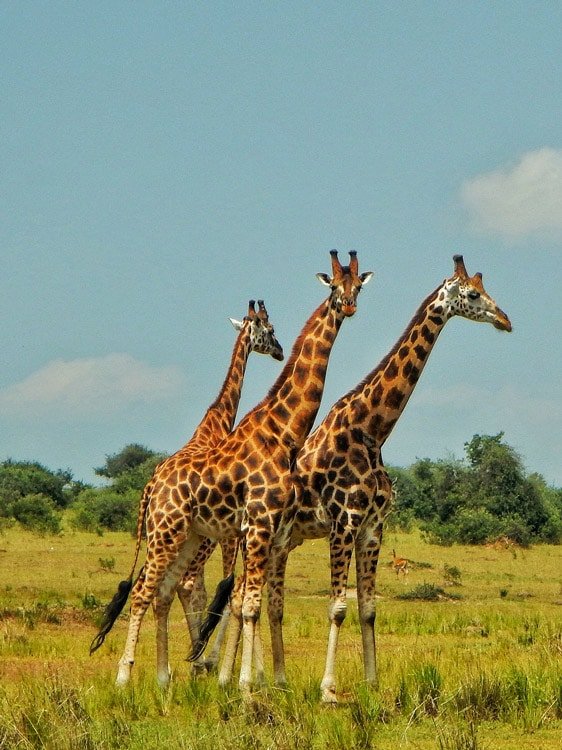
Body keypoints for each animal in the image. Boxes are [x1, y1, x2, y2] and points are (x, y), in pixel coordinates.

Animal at [91, 253, 372, 692]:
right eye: (333, 286)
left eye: (358, 285)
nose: (348, 306)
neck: (282, 431)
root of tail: (152, 487)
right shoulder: (255, 526)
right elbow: (243, 601)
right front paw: (242, 684)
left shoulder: (261, 529)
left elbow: (241, 600)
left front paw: (241, 676)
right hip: (166, 532)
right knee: (142, 592)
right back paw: (126, 676)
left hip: (188, 535)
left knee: (164, 590)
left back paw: (164, 678)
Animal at [217, 256, 510, 704]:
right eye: (473, 294)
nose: (506, 320)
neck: (371, 430)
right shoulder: (345, 522)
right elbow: (337, 607)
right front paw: (328, 690)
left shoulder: (374, 526)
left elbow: (369, 608)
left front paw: (372, 684)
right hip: (254, 534)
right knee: (238, 597)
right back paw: (232, 680)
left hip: (281, 541)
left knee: (261, 599)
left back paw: (266, 681)